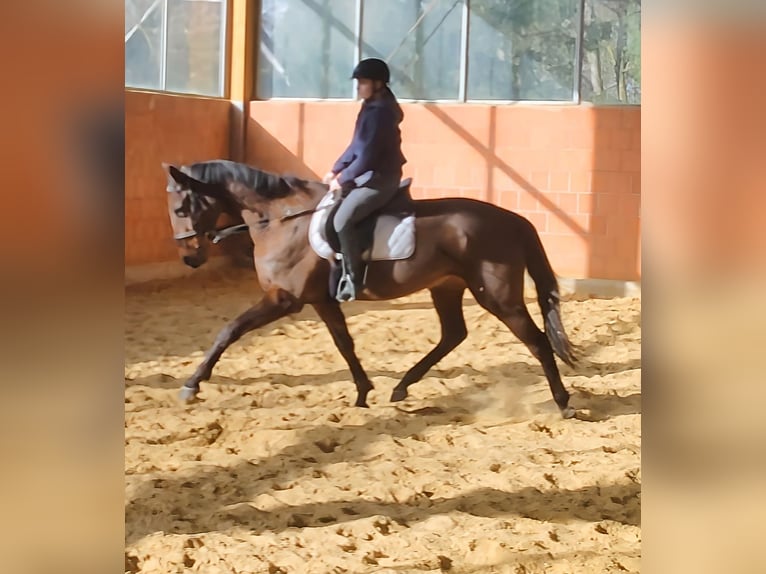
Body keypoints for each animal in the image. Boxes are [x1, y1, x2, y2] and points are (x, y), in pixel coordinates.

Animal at [161, 159, 579, 419]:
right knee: (453, 334)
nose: (189, 257)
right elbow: (344, 343)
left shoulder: (286, 299)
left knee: (537, 341)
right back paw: (403, 387)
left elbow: (229, 331)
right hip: (447, 286)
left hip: (497, 296)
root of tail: (514, 219)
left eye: (181, 209)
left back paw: (563, 403)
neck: (283, 220)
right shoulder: (321, 300)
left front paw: (192, 385)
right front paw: (363, 392)